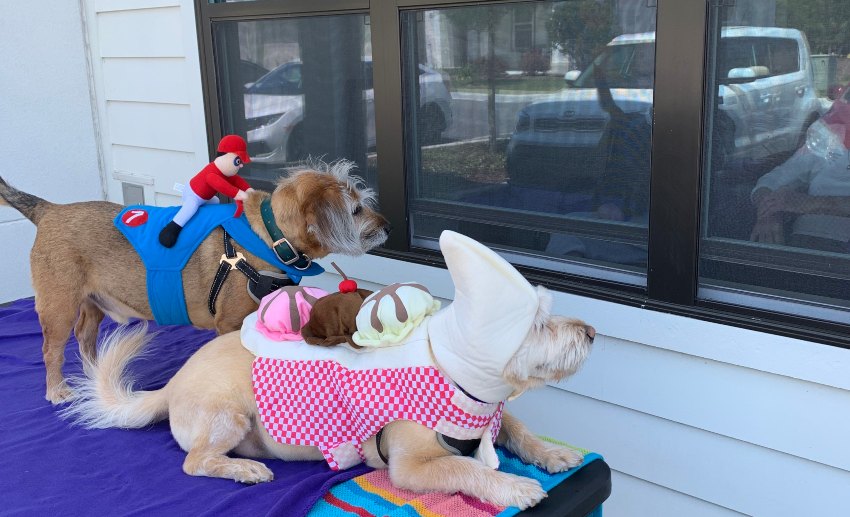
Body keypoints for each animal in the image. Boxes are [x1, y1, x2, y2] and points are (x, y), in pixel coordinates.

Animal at [0, 161, 390, 404]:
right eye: (355, 210)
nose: (388, 225)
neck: (269, 235)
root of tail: (49, 210)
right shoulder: (230, 324)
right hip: (58, 307)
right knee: (51, 349)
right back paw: (57, 390)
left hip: (92, 303)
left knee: (85, 336)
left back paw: (95, 372)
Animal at [63, 232, 592, 510]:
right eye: (540, 324)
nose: (590, 332)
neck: (458, 374)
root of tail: (170, 385)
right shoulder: (412, 467)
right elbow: (467, 467)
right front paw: (516, 486)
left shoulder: (495, 417)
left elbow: (519, 430)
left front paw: (551, 454)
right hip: (227, 416)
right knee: (194, 462)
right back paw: (243, 469)